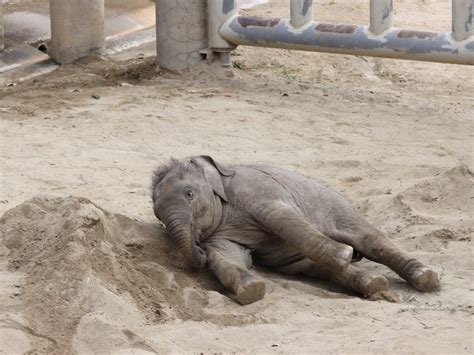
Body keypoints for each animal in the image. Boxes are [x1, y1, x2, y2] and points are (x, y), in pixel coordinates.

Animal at [150, 156, 438, 306]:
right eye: (159, 217)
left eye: (189, 194)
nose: (199, 249)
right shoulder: (221, 234)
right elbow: (226, 256)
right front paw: (252, 290)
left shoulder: (258, 190)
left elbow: (283, 220)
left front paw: (343, 255)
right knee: (316, 269)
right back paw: (374, 284)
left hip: (336, 205)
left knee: (370, 239)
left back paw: (425, 278)